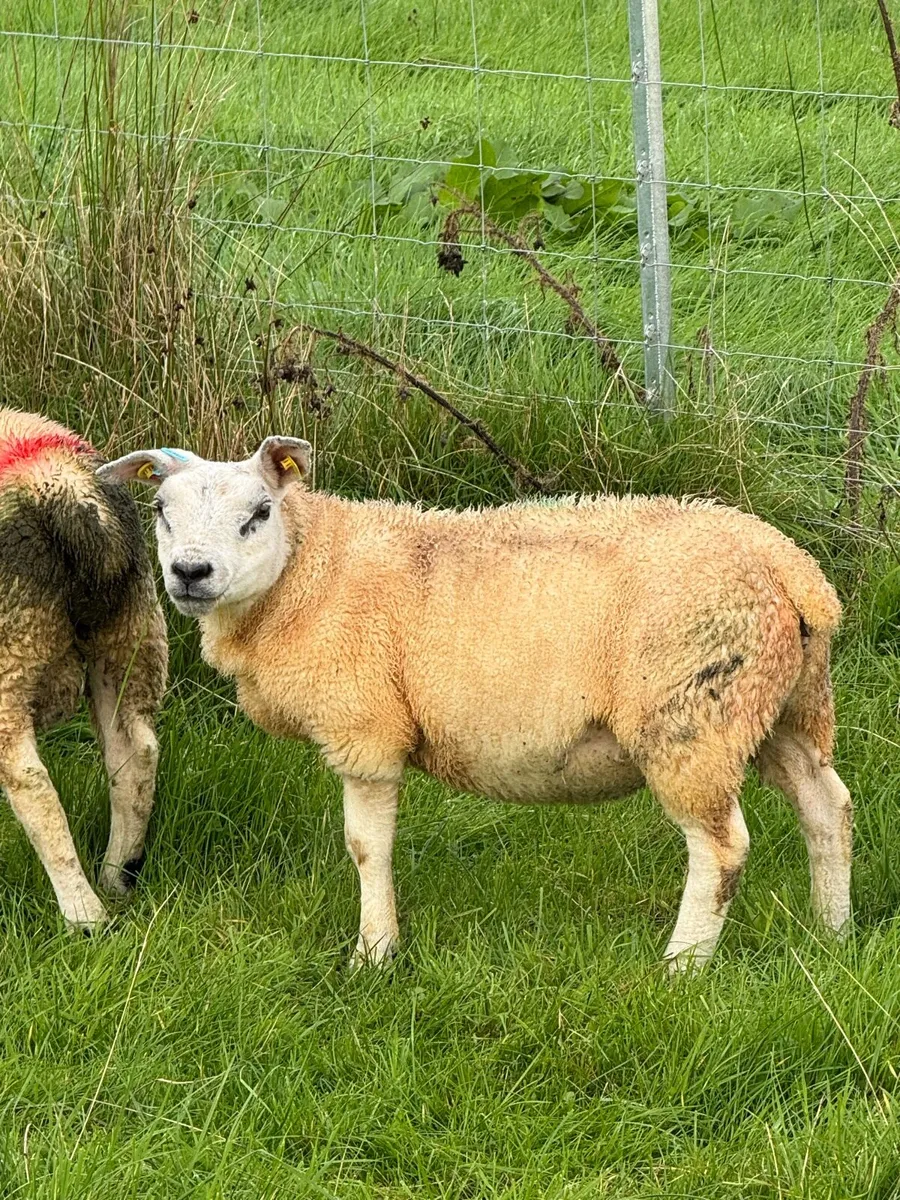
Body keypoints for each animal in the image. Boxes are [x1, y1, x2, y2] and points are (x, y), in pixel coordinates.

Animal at [0, 408, 167, 932]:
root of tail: (70, 499)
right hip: (130, 629)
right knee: (135, 755)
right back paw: (117, 875)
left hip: (13, 650)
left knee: (30, 781)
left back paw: (83, 913)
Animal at [101, 437, 851, 969]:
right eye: (161, 512)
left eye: (258, 514)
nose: (190, 572)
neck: (312, 571)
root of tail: (792, 569)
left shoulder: (364, 728)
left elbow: (366, 847)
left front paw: (374, 954)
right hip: (781, 707)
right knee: (827, 806)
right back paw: (832, 931)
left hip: (694, 717)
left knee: (722, 847)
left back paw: (683, 967)